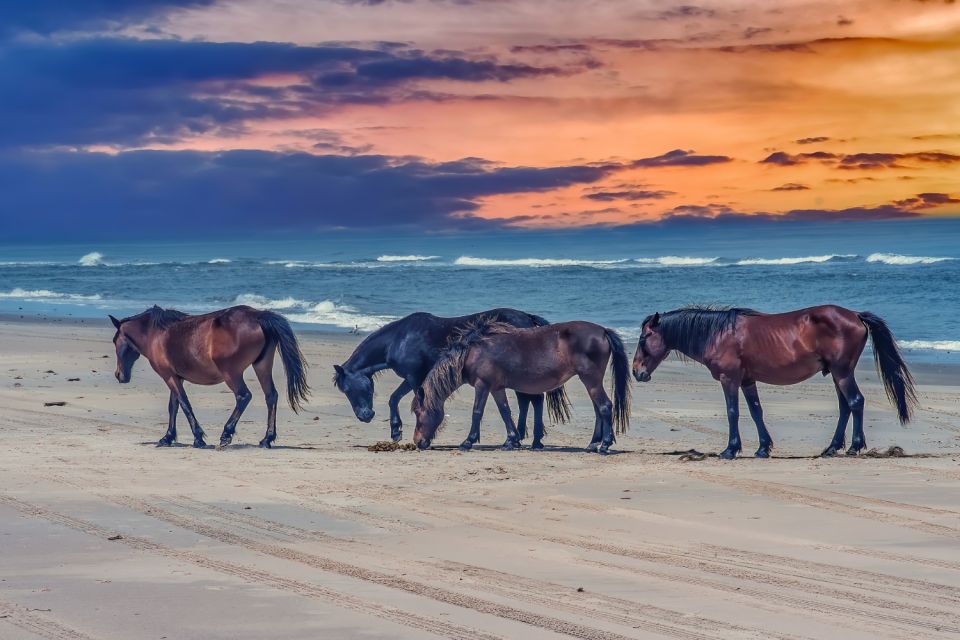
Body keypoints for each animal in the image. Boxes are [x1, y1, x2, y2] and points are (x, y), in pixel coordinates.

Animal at [111, 306, 312, 448]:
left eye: (115, 341)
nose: (119, 375)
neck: (156, 334)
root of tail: (258, 316)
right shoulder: (176, 377)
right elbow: (173, 407)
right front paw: (167, 438)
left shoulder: (169, 377)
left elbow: (184, 404)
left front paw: (198, 439)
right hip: (261, 365)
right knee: (271, 396)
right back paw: (266, 440)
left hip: (232, 373)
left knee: (243, 396)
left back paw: (226, 435)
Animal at [334, 308, 568, 442]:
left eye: (349, 389)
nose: (365, 416)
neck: (398, 340)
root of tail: (527, 317)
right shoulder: (412, 377)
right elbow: (394, 398)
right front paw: (395, 431)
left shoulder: (415, 378)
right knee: (529, 401)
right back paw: (527, 438)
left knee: (532, 400)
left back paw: (528, 438)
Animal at [412, 320, 632, 456]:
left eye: (417, 411)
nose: (417, 442)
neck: (473, 351)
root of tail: (603, 331)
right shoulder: (496, 388)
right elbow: (505, 411)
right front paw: (511, 441)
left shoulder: (483, 385)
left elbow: (477, 412)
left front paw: (468, 441)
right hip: (591, 382)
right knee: (598, 410)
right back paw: (593, 443)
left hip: (591, 380)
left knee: (604, 407)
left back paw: (604, 445)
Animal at [632, 306, 920, 460]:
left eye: (644, 338)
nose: (636, 372)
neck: (718, 334)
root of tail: (856, 315)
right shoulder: (747, 381)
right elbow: (756, 412)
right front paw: (762, 448)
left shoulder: (729, 380)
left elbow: (733, 412)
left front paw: (730, 450)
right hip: (837, 374)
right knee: (845, 407)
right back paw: (831, 448)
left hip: (842, 372)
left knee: (855, 402)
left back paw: (853, 447)